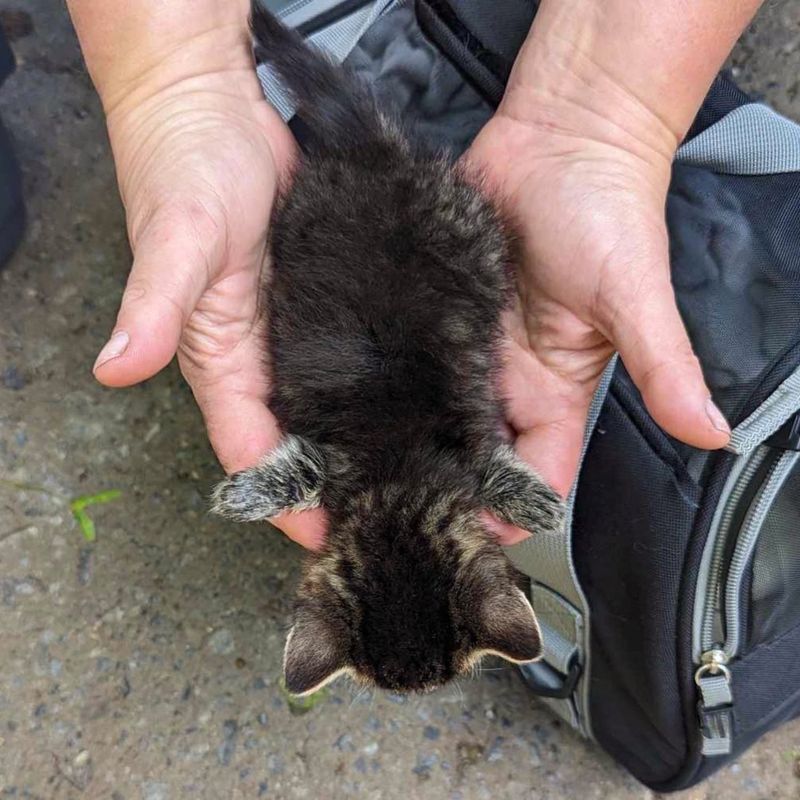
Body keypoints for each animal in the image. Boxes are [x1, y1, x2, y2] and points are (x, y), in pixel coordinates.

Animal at [212, 3, 564, 696]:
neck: (400, 484)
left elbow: (492, 469)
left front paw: (534, 501)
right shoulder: (346, 460)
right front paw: (249, 494)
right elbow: (301, 471)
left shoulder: (459, 453)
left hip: (468, 229)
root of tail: (382, 160)